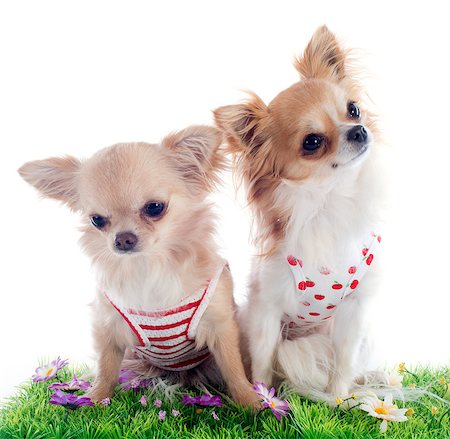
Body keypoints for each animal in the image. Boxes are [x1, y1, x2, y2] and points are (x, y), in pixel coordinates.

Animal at [19, 125, 258, 408]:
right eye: (97, 220)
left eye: (154, 208)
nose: (123, 239)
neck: (149, 265)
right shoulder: (109, 329)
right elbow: (106, 369)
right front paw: (94, 399)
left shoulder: (220, 325)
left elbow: (233, 369)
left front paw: (252, 404)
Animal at [216, 26, 384, 402]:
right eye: (312, 142)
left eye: (353, 110)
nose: (359, 130)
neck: (329, 200)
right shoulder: (267, 308)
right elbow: (263, 360)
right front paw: (264, 397)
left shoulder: (354, 310)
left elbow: (343, 360)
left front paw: (339, 399)